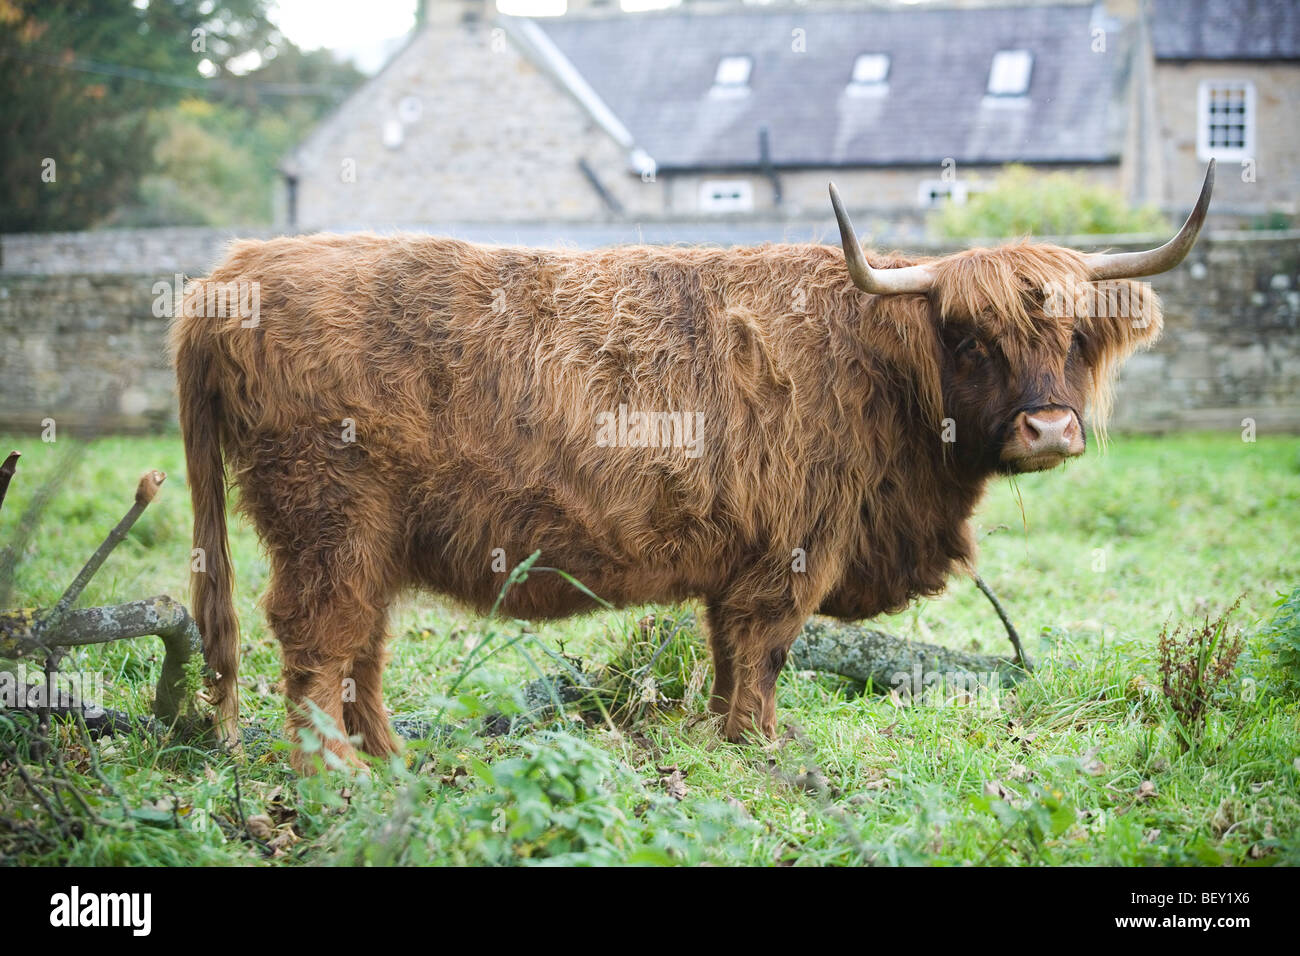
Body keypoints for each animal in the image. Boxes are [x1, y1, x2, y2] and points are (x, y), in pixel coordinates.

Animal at [172, 163, 1214, 771]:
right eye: (968, 337)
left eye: (1073, 337)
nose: (1049, 428)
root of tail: (234, 273)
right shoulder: (789, 552)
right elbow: (763, 656)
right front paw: (763, 749)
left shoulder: (743, 559)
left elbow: (727, 660)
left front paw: (724, 739)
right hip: (329, 520)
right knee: (317, 643)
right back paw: (339, 780)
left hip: (371, 538)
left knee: (363, 647)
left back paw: (393, 762)